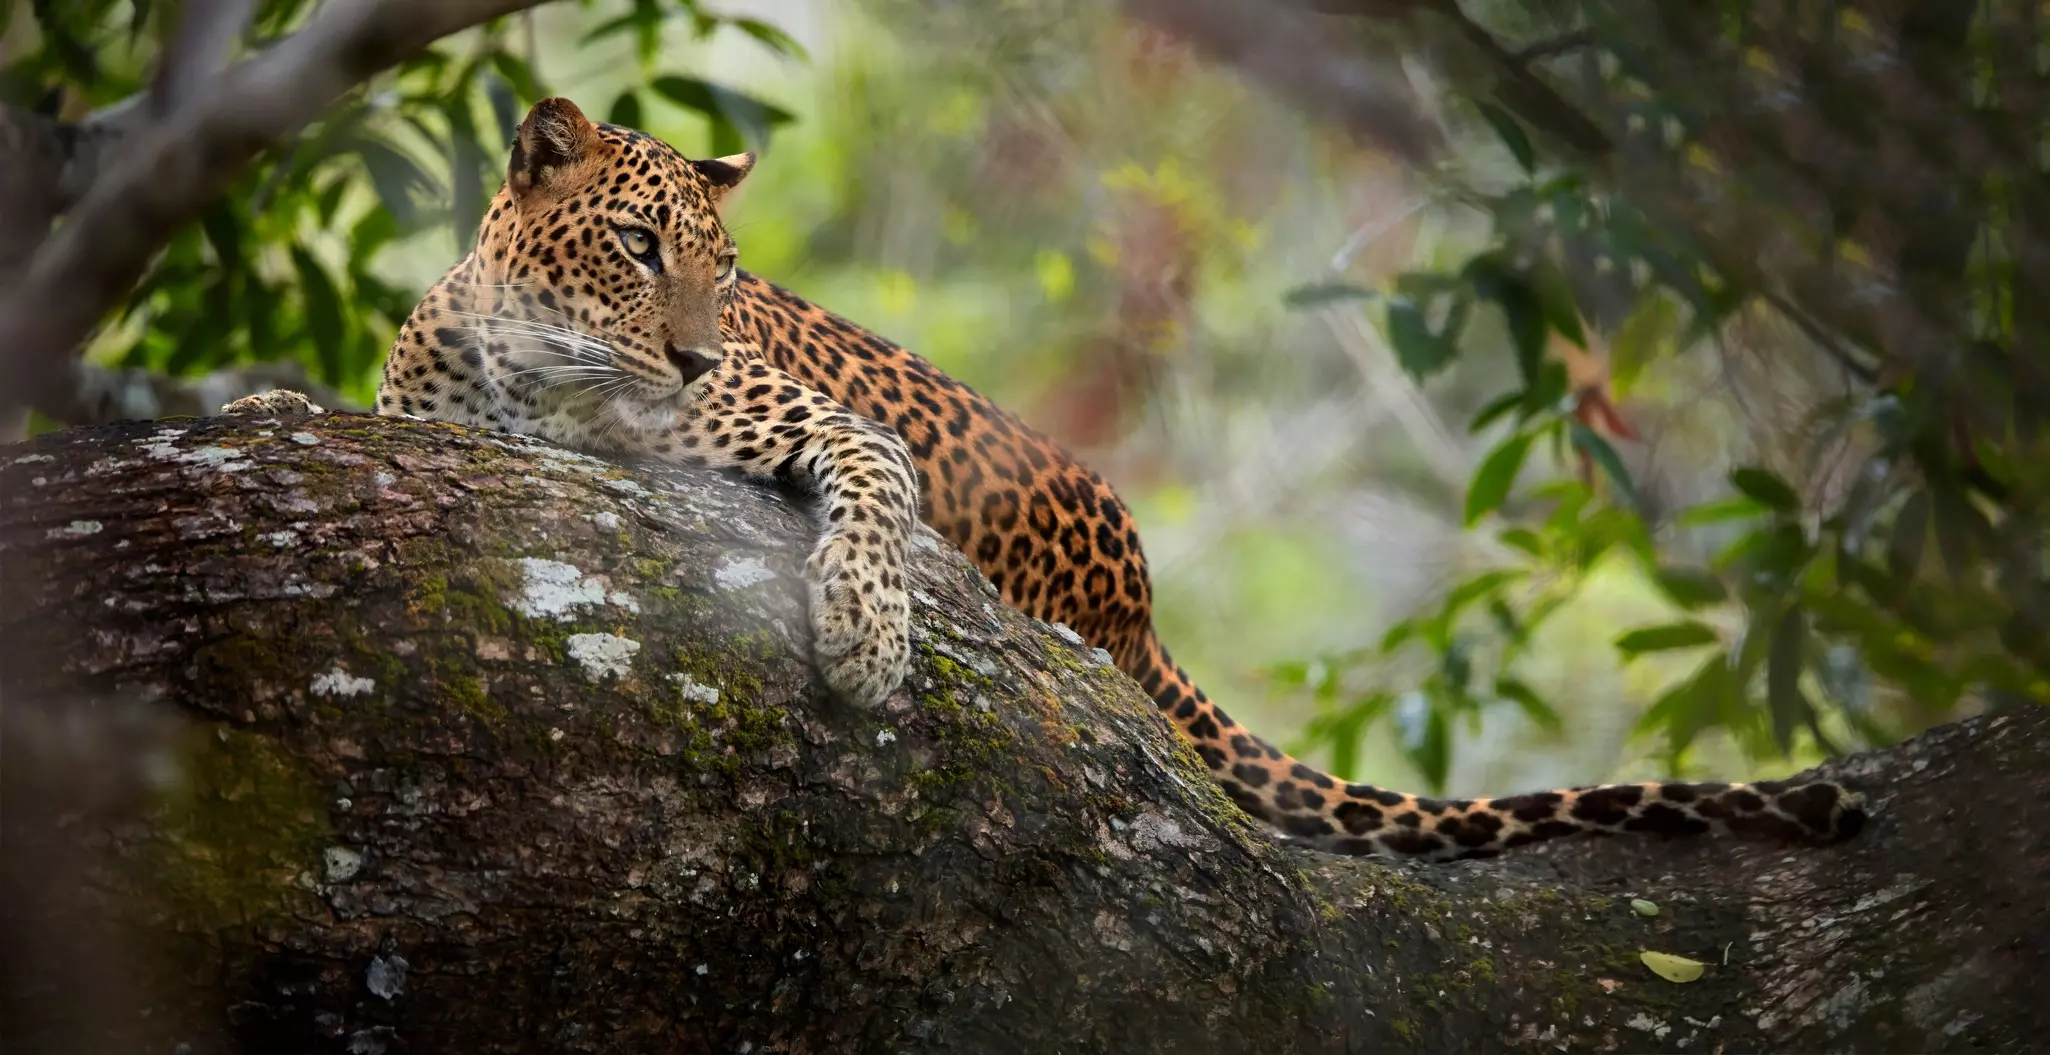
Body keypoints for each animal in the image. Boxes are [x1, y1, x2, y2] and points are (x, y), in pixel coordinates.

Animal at [234, 97, 1866, 861]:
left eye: (726, 269)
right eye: (637, 248)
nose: (693, 356)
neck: (539, 373)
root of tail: (1140, 604)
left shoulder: (827, 423)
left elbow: (870, 503)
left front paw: (865, 637)